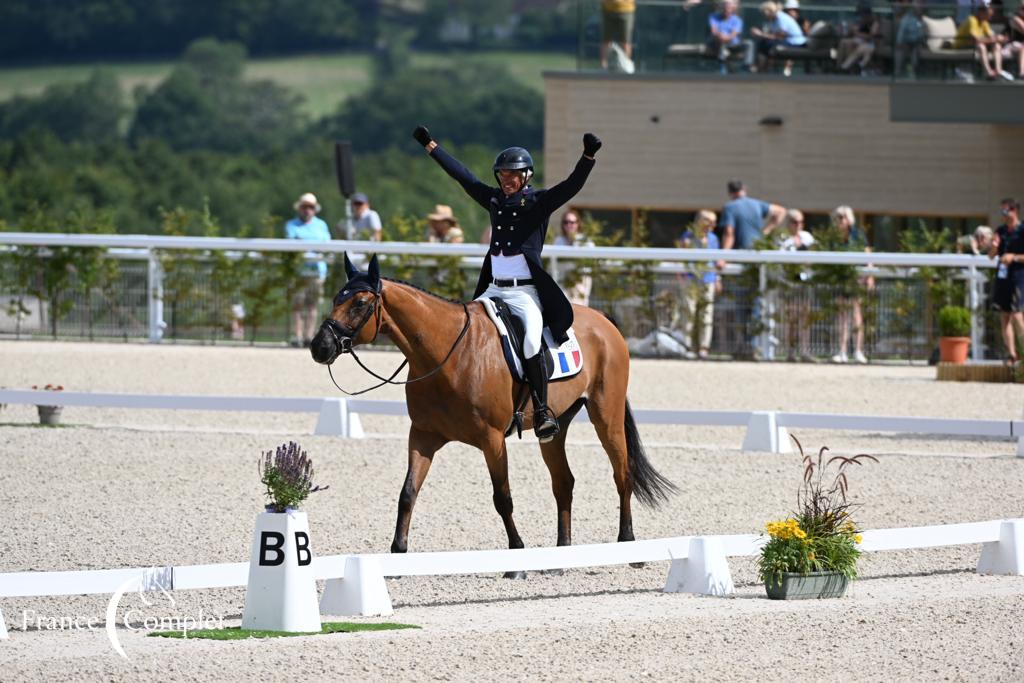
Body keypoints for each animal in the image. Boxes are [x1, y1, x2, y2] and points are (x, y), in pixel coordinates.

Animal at [311, 253, 679, 569]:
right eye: (335, 299)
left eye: (359, 303)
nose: (320, 347)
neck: (446, 353)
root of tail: (606, 322)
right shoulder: (423, 436)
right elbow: (407, 493)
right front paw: (397, 555)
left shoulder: (492, 440)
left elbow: (502, 498)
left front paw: (516, 560)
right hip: (556, 427)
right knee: (563, 482)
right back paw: (559, 559)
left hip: (607, 415)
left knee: (622, 474)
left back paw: (629, 547)